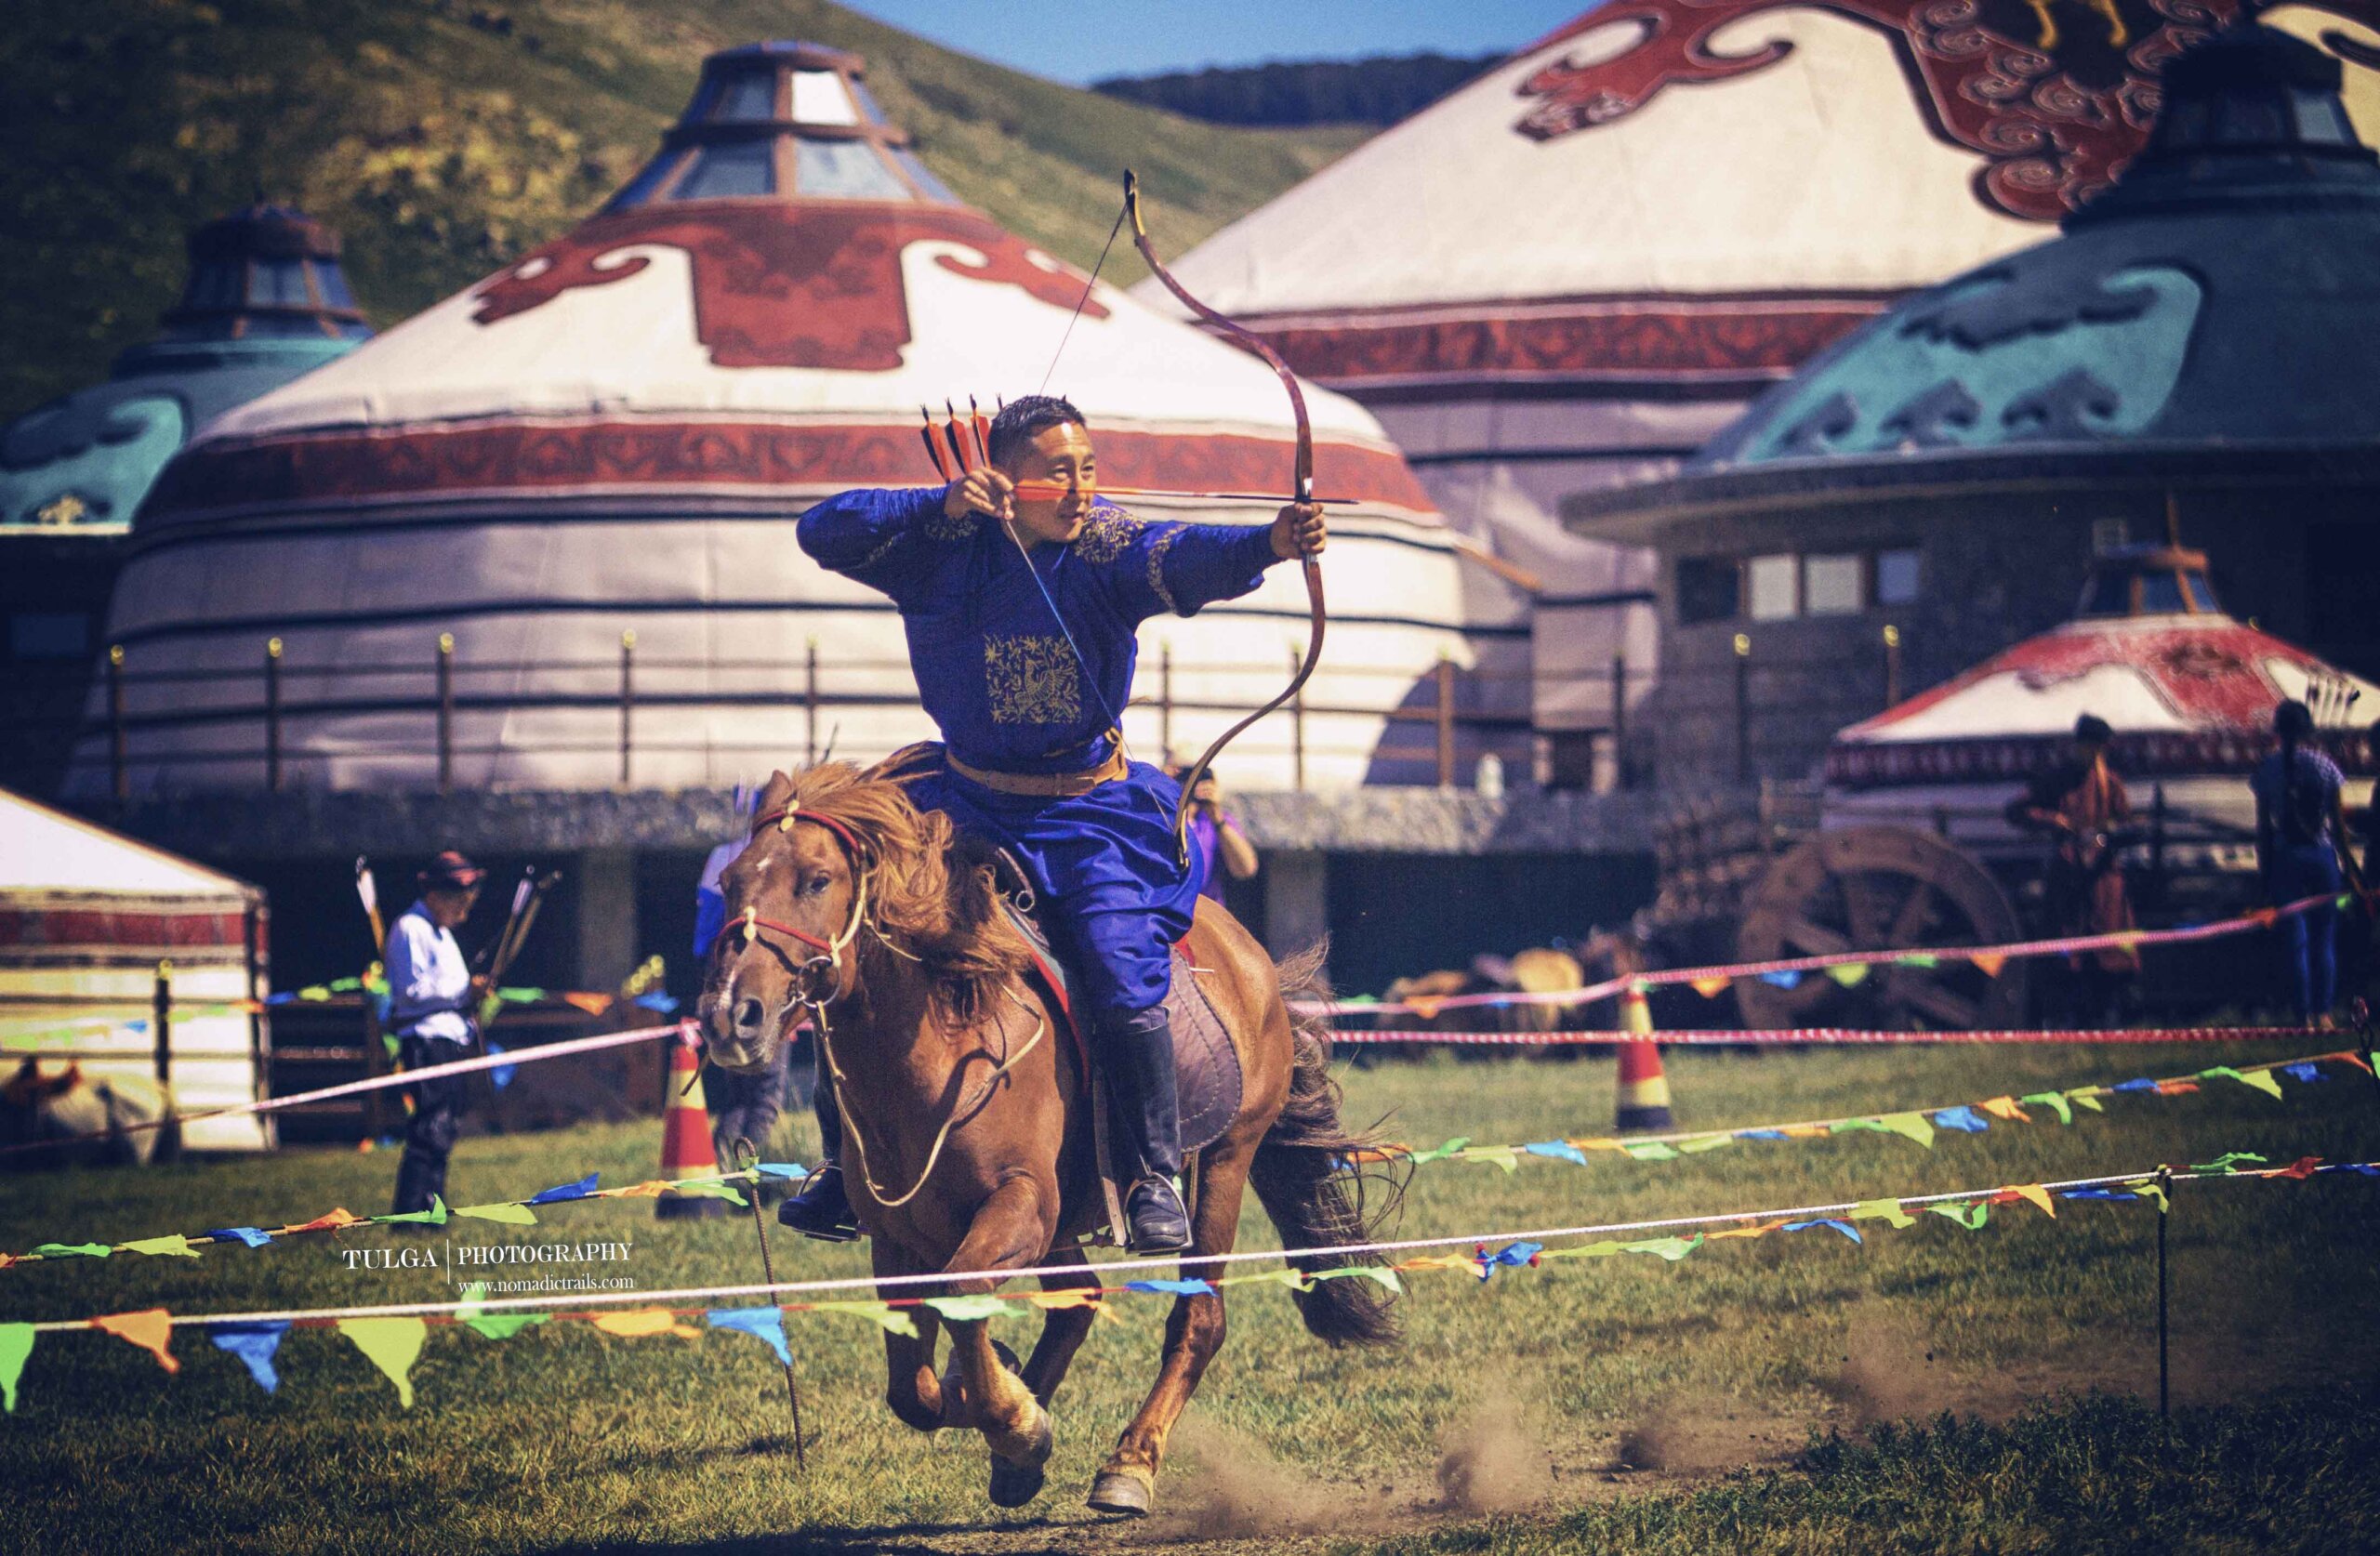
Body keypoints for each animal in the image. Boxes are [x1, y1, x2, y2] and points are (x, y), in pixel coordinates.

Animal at [694, 761, 1390, 1523]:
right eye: (730, 883)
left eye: (817, 881)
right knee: (1079, 1298)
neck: (942, 1047)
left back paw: (1128, 1465)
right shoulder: (898, 1237)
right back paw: (1020, 1453)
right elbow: (913, 1390)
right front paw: (1000, 1399)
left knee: (1198, 1318)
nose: (730, 1014)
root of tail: (1249, 955)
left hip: (1223, 1164)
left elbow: (961, 1292)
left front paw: (1018, 1420)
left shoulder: (1020, 1204)